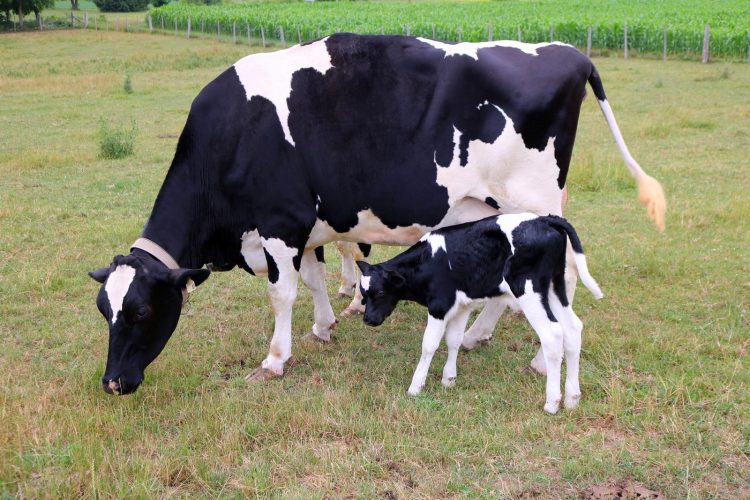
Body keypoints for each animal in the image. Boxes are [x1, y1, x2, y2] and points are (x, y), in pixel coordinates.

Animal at [356, 213, 603, 413]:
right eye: (363, 294)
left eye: (379, 291)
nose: (368, 319)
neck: (427, 262)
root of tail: (543, 219)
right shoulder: (461, 306)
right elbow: (453, 340)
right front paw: (449, 379)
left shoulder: (439, 306)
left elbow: (429, 345)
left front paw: (416, 386)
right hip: (554, 288)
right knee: (573, 329)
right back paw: (572, 398)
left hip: (529, 291)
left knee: (552, 334)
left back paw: (552, 403)